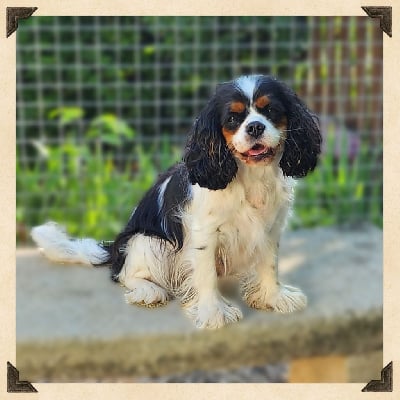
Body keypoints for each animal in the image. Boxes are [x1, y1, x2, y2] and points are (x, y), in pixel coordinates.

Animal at [31, 74, 322, 328]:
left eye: (271, 111)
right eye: (232, 118)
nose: (255, 126)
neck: (250, 175)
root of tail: (114, 249)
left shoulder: (270, 229)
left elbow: (269, 265)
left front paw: (273, 297)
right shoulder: (204, 232)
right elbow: (205, 274)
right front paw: (213, 312)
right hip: (148, 242)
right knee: (123, 274)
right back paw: (148, 290)